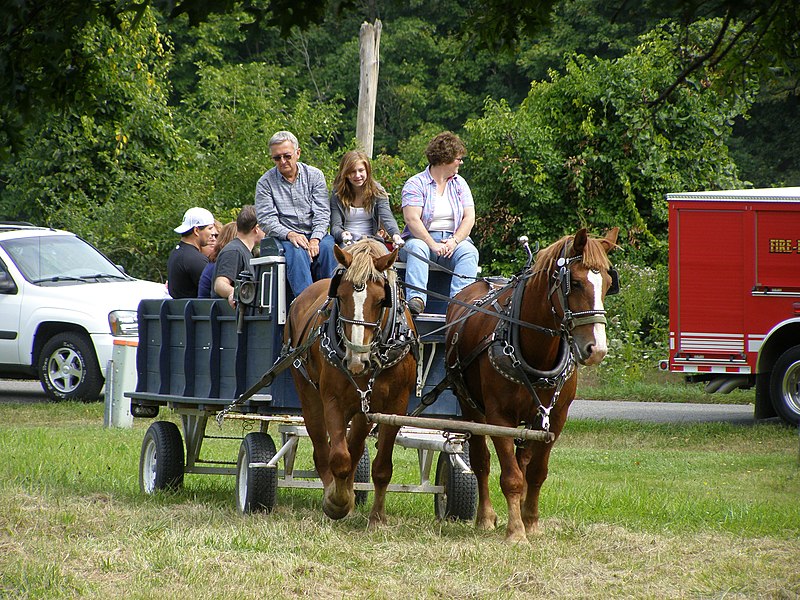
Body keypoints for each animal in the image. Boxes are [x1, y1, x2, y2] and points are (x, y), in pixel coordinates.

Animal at [282, 237, 418, 528]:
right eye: (341, 297)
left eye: (381, 301)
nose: (357, 359)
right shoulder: (332, 400)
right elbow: (339, 458)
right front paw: (337, 501)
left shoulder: (394, 405)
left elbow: (380, 467)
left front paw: (376, 517)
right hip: (309, 395)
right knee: (323, 450)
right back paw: (334, 492)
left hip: (363, 408)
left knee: (354, 447)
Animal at [444, 227, 620, 540]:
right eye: (575, 283)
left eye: (609, 283)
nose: (596, 350)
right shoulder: (498, 417)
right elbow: (511, 476)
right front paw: (515, 531)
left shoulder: (555, 418)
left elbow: (536, 472)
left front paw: (531, 523)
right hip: (470, 406)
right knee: (480, 461)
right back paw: (485, 516)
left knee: (523, 460)